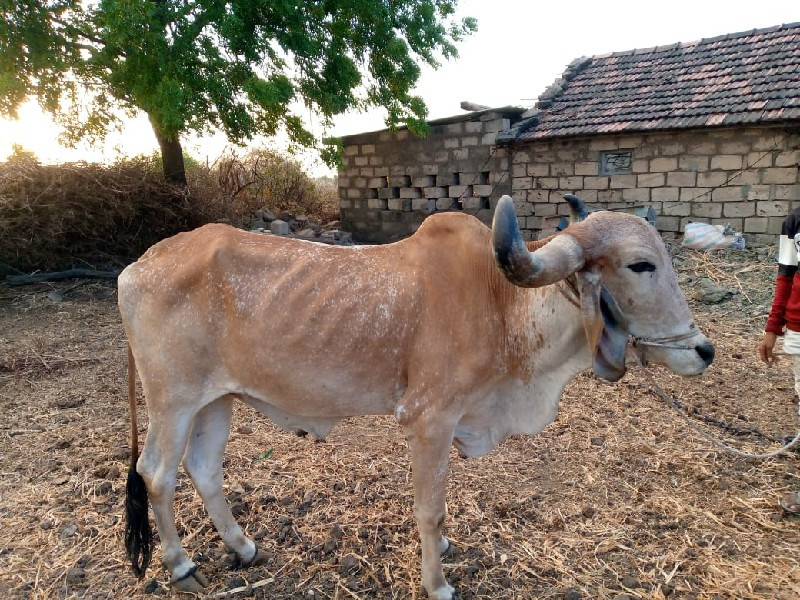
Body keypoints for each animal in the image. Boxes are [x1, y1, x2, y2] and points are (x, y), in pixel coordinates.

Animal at [119, 195, 712, 596]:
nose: (703, 350)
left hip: (215, 401)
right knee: (157, 473)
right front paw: (438, 581)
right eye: (641, 264)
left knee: (204, 470)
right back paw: (180, 564)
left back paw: (242, 546)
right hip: (172, 401)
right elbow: (430, 508)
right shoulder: (429, 420)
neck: (500, 305)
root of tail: (137, 265)